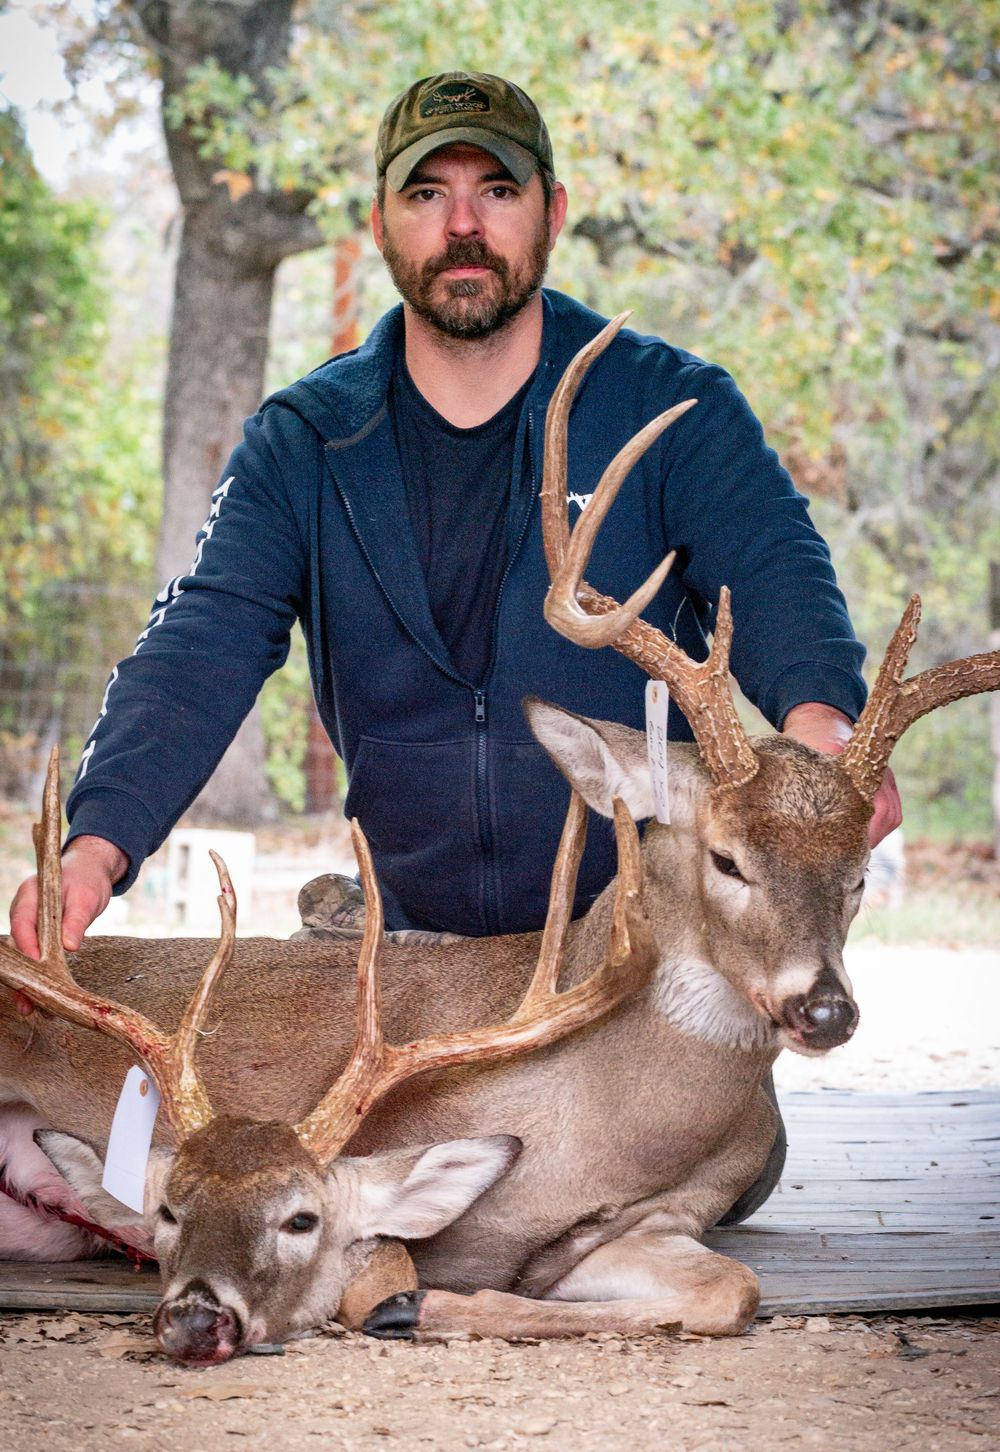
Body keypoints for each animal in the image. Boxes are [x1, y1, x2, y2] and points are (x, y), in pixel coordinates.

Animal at [2, 313, 998, 1363]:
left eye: (858, 875)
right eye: (727, 857)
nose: (825, 1011)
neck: (613, 1114)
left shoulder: (656, 1220)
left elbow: (731, 1290)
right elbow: (394, 1275)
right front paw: (415, 1305)